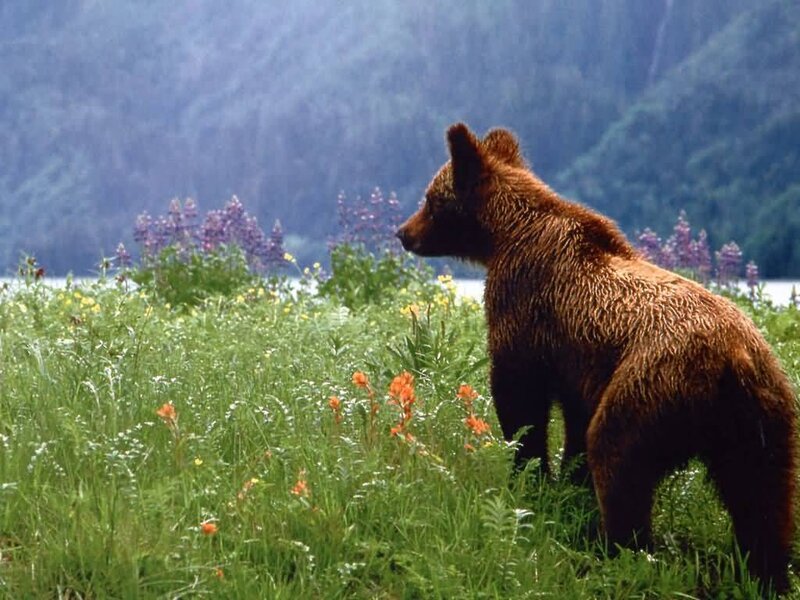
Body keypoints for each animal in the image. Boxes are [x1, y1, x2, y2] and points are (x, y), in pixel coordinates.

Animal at [396, 122, 797, 593]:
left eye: (430, 199)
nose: (403, 232)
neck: (505, 235)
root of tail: (735, 359)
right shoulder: (581, 361)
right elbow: (572, 421)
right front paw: (568, 486)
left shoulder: (523, 303)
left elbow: (520, 398)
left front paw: (529, 475)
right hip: (764, 414)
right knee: (762, 495)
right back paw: (765, 573)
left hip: (653, 387)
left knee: (617, 456)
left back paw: (613, 549)